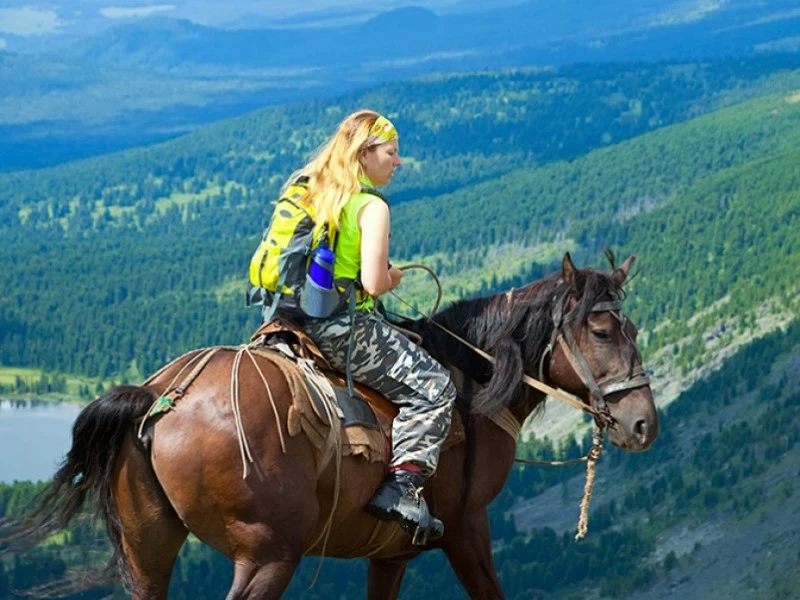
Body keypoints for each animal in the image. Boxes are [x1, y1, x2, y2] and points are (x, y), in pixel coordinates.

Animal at [4, 251, 656, 596]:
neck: (473, 383)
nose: (644, 423)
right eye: (602, 331)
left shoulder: (390, 554)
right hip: (269, 555)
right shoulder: (469, 526)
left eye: (634, 328)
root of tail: (160, 397)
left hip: (148, 551)